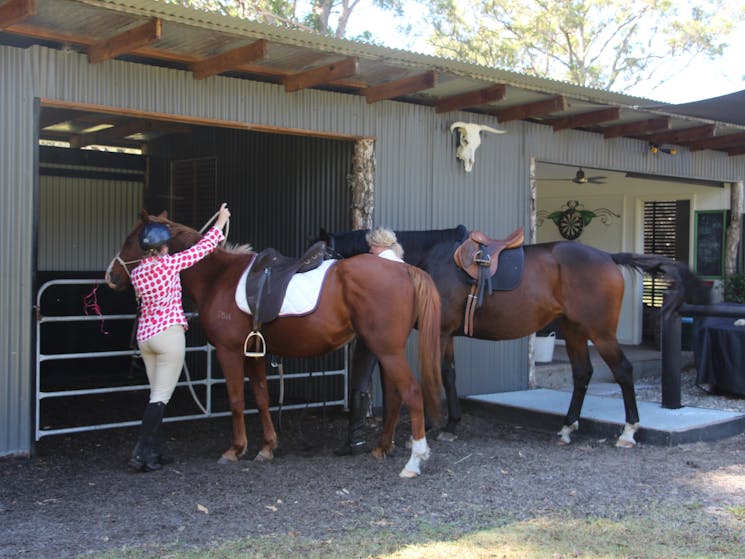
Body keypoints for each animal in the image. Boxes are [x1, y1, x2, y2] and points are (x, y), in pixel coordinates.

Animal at [104, 212, 442, 480]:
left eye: (131, 240)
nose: (111, 277)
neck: (219, 278)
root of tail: (403, 269)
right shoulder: (253, 352)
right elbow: (262, 398)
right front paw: (267, 447)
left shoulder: (229, 352)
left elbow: (237, 400)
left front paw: (235, 449)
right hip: (385, 351)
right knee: (397, 395)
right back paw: (382, 447)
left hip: (387, 350)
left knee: (412, 393)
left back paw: (414, 461)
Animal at [320, 225, 708, 448]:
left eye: (320, 250)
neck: (430, 258)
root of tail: (608, 257)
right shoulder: (447, 335)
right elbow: (449, 375)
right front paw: (451, 423)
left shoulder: (441, 332)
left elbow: (441, 376)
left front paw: (441, 424)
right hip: (573, 329)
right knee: (582, 374)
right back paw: (567, 428)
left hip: (600, 331)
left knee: (623, 371)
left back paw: (628, 431)